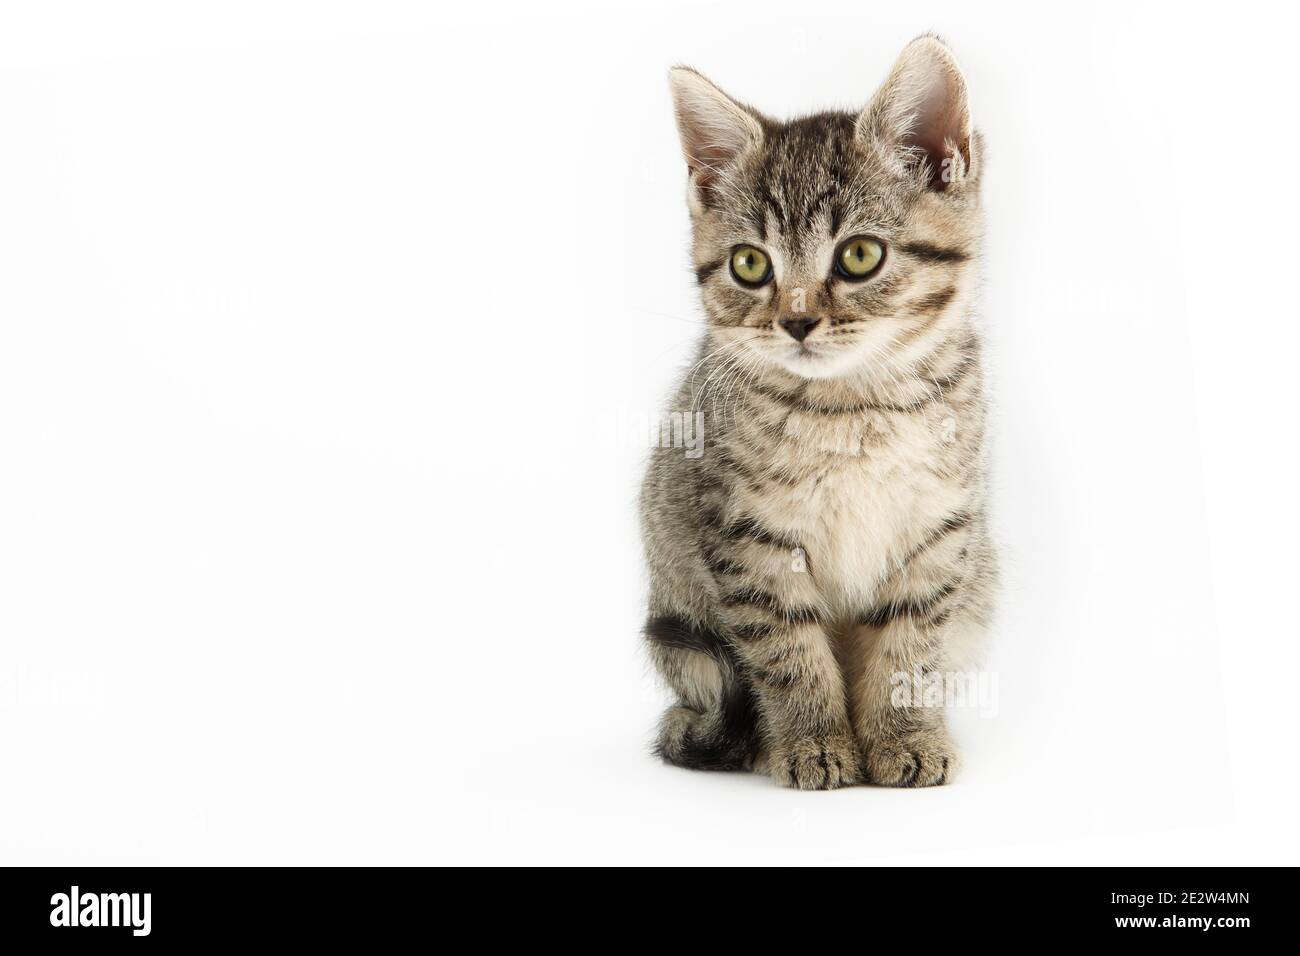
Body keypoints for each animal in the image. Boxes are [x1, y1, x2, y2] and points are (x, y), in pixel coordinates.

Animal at [639, 35, 993, 790]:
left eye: (859, 255)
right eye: (750, 265)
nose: (797, 322)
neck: (851, 407)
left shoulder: (938, 531)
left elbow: (909, 647)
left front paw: (903, 736)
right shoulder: (748, 539)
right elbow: (788, 653)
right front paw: (813, 742)